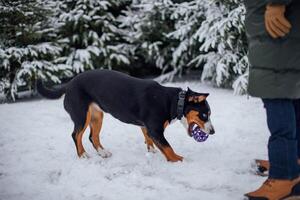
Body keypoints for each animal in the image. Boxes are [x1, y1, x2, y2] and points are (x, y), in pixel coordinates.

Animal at [37, 69, 214, 162]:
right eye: (204, 115)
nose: (213, 131)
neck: (173, 101)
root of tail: (69, 84)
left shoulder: (146, 127)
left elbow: (149, 140)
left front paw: (151, 151)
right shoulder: (156, 130)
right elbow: (168, 147)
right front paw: (178, 159)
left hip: (97, 116)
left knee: (92, 136)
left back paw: (102, 152)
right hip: (82, 115)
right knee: (76, 135)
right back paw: (83, 155)